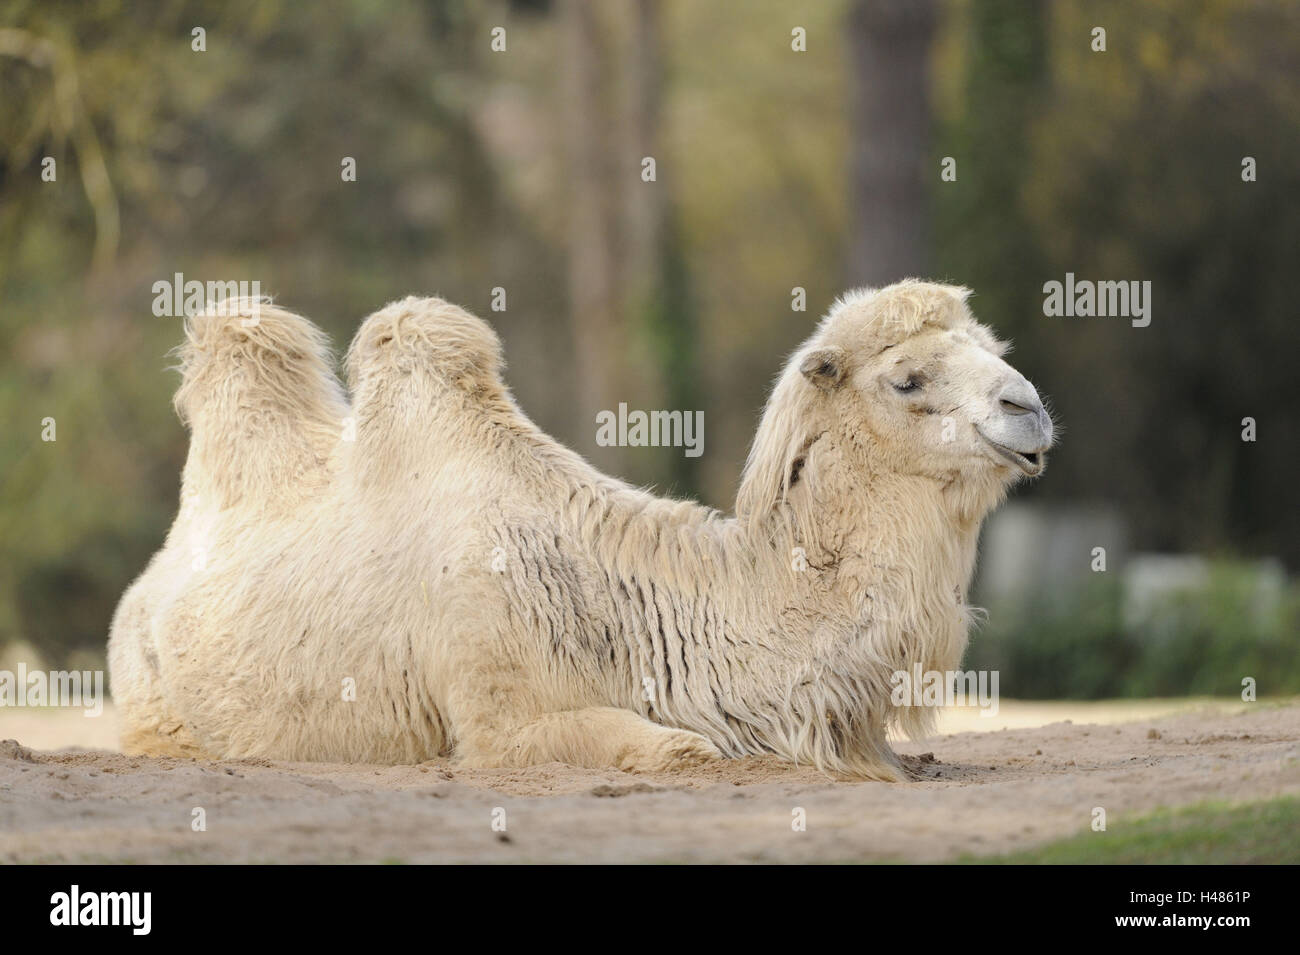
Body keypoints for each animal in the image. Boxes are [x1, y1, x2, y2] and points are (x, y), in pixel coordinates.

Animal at [108, 280, 1053, 780]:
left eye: (994, 348)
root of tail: (145, 587)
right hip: (151, 701)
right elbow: (684, 749)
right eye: (906, 379)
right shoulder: (495, 720)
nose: (1029, 408)